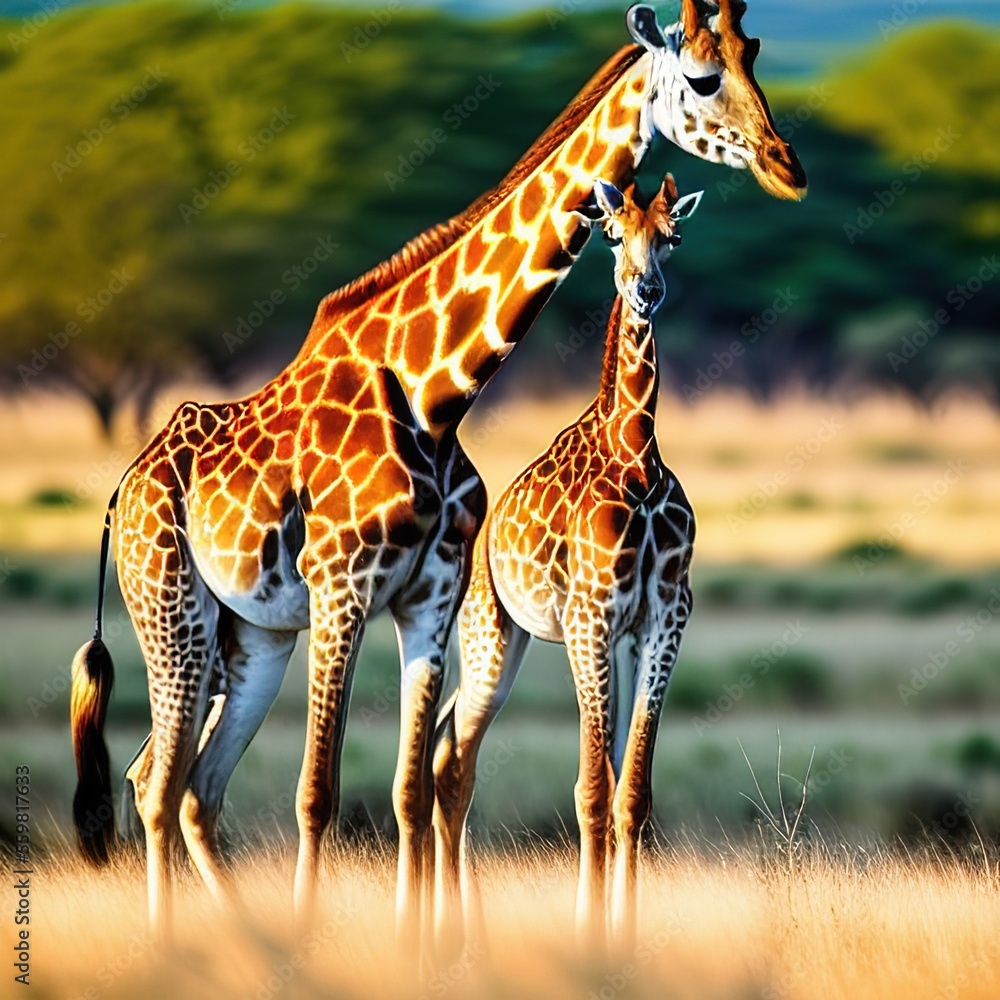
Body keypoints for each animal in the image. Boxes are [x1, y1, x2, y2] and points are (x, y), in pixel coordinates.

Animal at [432, 174, 700, 953]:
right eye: (613, 233)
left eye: (672, 234)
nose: (647, 290)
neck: (638, 458)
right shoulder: (592, 617)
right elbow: (590, 790)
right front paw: (590, 941)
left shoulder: (663, 618)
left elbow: (632, 792)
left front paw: (627, 937)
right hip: (488, 634)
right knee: (454, 765)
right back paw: (452, 935)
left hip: (519, 643)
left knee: (447, 755)